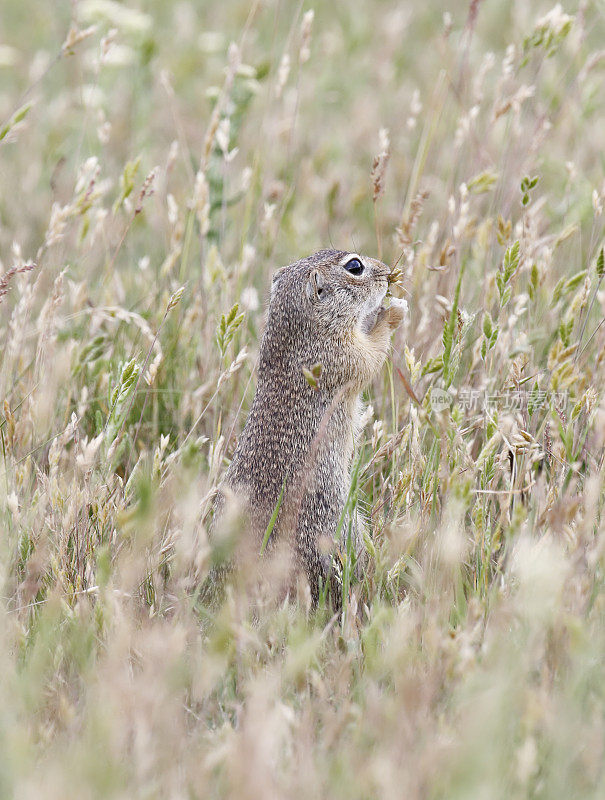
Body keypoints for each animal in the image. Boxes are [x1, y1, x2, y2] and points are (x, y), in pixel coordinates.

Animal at [214, 250, 406, 608]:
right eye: (355, 266)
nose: (388, 272)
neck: (297, 333)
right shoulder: (343, 356)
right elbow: (371, 354)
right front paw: (393, 311)